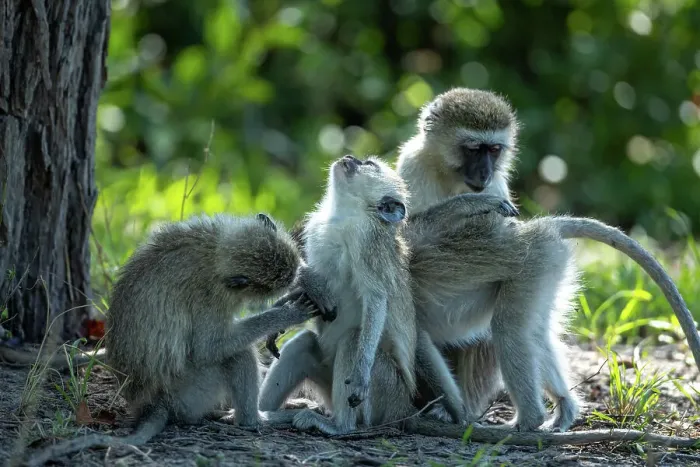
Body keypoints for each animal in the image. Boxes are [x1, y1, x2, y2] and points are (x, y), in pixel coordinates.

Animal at [23, 212, 336, 465]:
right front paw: (287, 314)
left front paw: (308, 284)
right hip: (191, 392)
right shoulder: (210, 296)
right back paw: (255, 419)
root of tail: (154, 404)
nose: (294, 280)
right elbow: (208, 347)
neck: (212, 252)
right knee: (236, 354)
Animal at [394, 87, 700, 432]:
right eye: (473, 149)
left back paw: (516, 419)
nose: (485, 173)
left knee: (508, 329)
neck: (449, 175)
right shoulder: (412, 164)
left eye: (494, 150)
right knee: (534, 330)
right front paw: (470, 205)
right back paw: (561, 407)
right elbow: (407, 227)